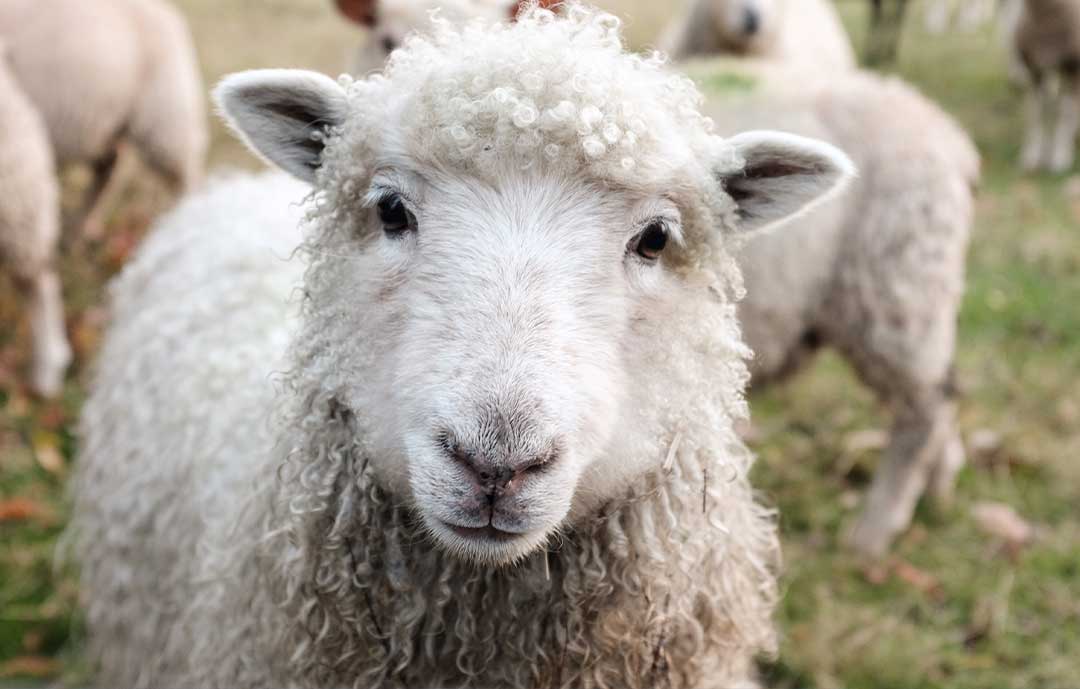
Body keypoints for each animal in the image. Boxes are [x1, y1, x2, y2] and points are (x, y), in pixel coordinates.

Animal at [686, 56, 984, 557]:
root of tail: (951, 137)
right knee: (943, 393)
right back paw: (940, 487)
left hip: (895, 288)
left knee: (927, 408)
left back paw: (875, 531)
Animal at [1010, 0, 1080, 172]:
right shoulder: (1034, 70)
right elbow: (1036, 112)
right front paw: (1032, 157)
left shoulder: (1073, 67)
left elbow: (1065, 111)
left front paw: (1060, 158)